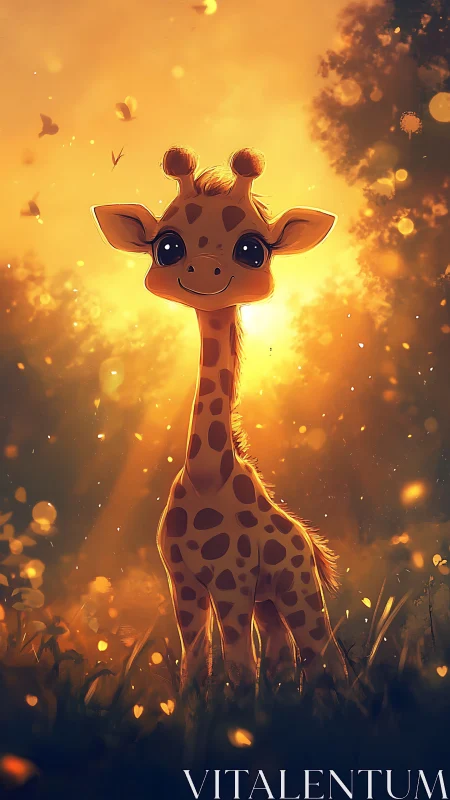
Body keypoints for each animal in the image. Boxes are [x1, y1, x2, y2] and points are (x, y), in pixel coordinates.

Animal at [92, 146, 347, 691]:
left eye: (253, 250)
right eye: (166, 246)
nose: (205, 272)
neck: (208, 473)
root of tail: (308, 542)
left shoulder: (231, 579)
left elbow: (238, 662)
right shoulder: (182, 579)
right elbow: (196, 660)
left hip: (295, 587)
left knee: (320, 648)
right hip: (268, 599)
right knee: (282, 650)